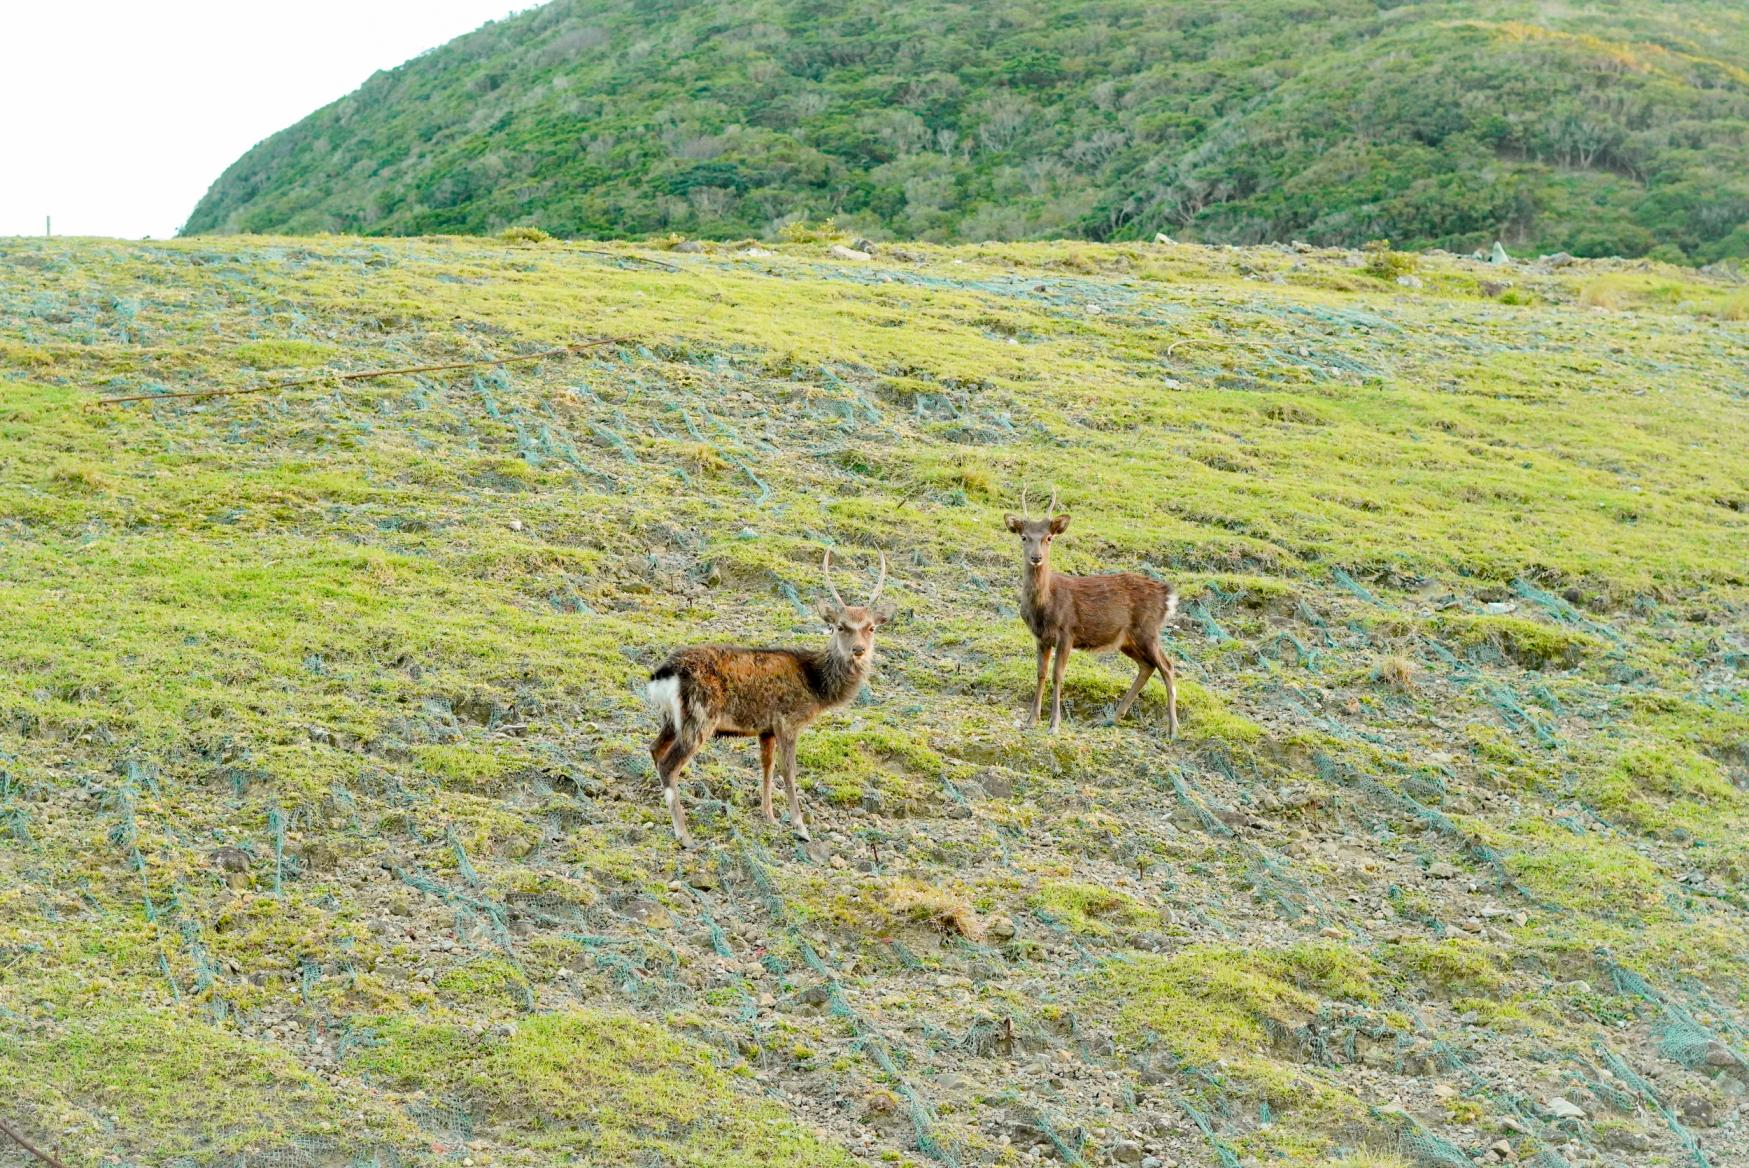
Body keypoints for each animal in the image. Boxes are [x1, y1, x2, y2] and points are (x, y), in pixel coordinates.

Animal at [647, 549, 895, 849]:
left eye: (871, 628)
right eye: (840, 626)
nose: (858, 650)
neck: (816, 686)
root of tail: (663, 675)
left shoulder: (766, 729)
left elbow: (767, 766)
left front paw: (770, 816)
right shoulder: (788, 720)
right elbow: (789, 770)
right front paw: (800, 826)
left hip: (672, 719)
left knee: (654, 749)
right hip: (700, 717)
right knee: (669, 764)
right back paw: (684, 834)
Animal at [1007, 489, 1182, 734]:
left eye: (1049, 538)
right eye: (1024, 537)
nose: (1036, 557)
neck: (1044, 607)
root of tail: (1168, 595)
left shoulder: (1067, 632)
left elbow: (1057, 675)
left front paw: (1054, 725)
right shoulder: (1041, 637)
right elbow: (1040, 673)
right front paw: (1031, 720)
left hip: (1148, 630)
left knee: (1167, 666)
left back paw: (1173, 729)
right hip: (1127, 639)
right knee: (1147, 666)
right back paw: (1112, 718)